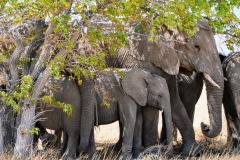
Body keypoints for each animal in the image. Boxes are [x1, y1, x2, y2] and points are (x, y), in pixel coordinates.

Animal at [79, 19, 224, 156]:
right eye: (196, 46)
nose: (205, 125)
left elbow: (174, 101)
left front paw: (194, 152)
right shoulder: (140, 61)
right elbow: (151, 105)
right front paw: (153, 153)